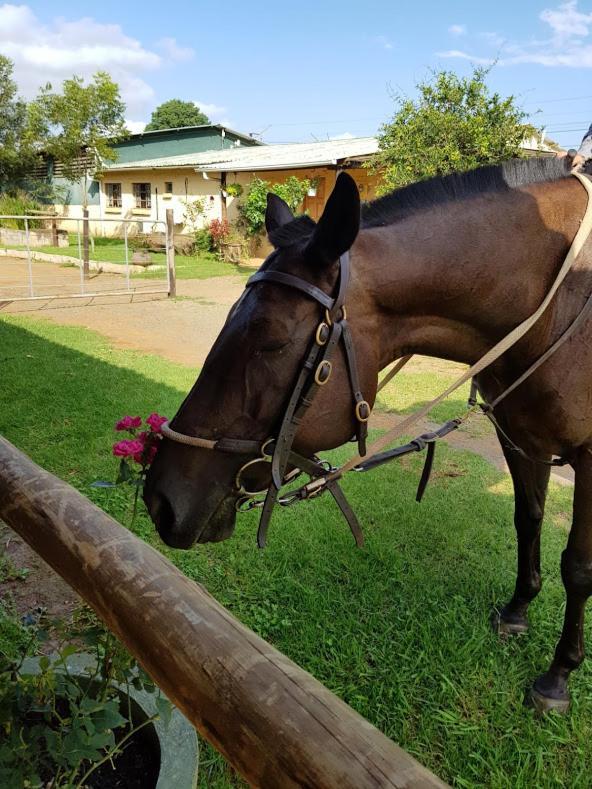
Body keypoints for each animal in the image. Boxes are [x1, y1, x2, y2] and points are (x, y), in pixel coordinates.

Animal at [145, 157, 592, 712]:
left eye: (270, 339)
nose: (160, 499)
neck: (557, 307)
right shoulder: (519, 438)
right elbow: (527, 521)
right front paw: (517, 611)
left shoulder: (588, 459)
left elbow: (578, 566)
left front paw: (559, 675)